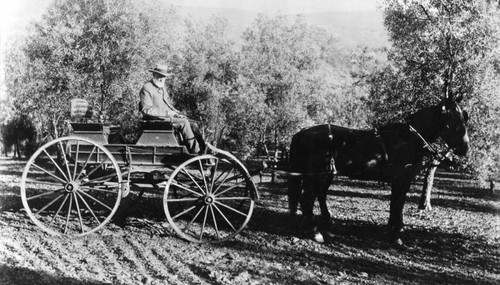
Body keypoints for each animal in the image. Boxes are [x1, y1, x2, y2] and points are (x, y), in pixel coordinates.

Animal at [290, 97, 468, 244]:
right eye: (452, 121)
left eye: (464, 117)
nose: (465, 148)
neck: (407, 140)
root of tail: (304, 131)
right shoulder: (401, 180)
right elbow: (397, 205)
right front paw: (396, 236)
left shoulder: (400, 181)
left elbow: (395, 205)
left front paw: (392, 231)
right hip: (316, 176)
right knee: (307, 199)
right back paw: (315, 232)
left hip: (325, 175)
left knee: (317, 196)